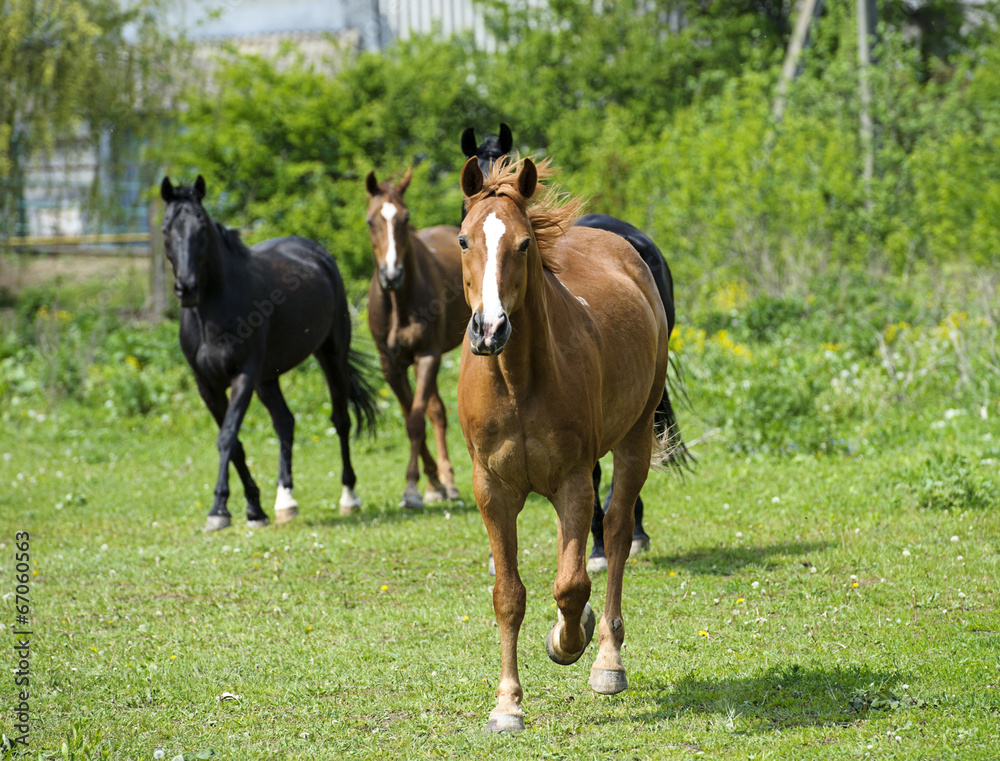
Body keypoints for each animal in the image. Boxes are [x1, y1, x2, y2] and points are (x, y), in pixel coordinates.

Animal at [160, 175, 378, 532]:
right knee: (285, 421)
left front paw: (219, 508)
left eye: (201, 226)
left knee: (341, 419)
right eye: (166, 228)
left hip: (330, 355)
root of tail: (318, 254)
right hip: (268, 377)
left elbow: (227, 436)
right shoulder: (207, 385)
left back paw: (349, 497)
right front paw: (253, 508)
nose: (187, 287)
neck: (211, 311)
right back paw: (285, 500)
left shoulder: (243, 375)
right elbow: (235, 444)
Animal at [366, 167, 470, 510]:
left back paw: (448, 481)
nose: (391, 275)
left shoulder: (427, 356)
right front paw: (429, 482)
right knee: (434, 410)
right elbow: (410, 415)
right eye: (370, 221)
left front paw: (413, 487)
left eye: (405, 217)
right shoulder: (392, 366)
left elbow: (416, 420)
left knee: (436, 414)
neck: (399, 301)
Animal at [460, 157, 672, 732]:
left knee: (616, 533)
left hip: (634, 437)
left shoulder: (574, 480)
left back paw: (607, 660)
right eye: (463, 240)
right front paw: (507, 705)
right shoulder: (492, 490)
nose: (490, 329)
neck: (517, 380)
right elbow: (509, 595)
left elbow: (573, 584)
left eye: (524, 244)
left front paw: (567, 643)